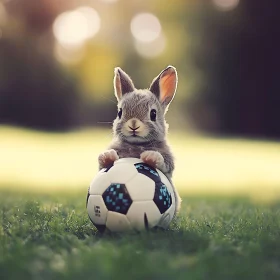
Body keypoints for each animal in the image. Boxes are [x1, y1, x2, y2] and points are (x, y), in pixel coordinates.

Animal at [98, 65, 182, 213]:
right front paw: (107, 156)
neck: (137, 144)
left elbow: (166, 164)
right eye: (120, 113)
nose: (133, 124)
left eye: (153, 114)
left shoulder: (167, 158)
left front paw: (151, 156)